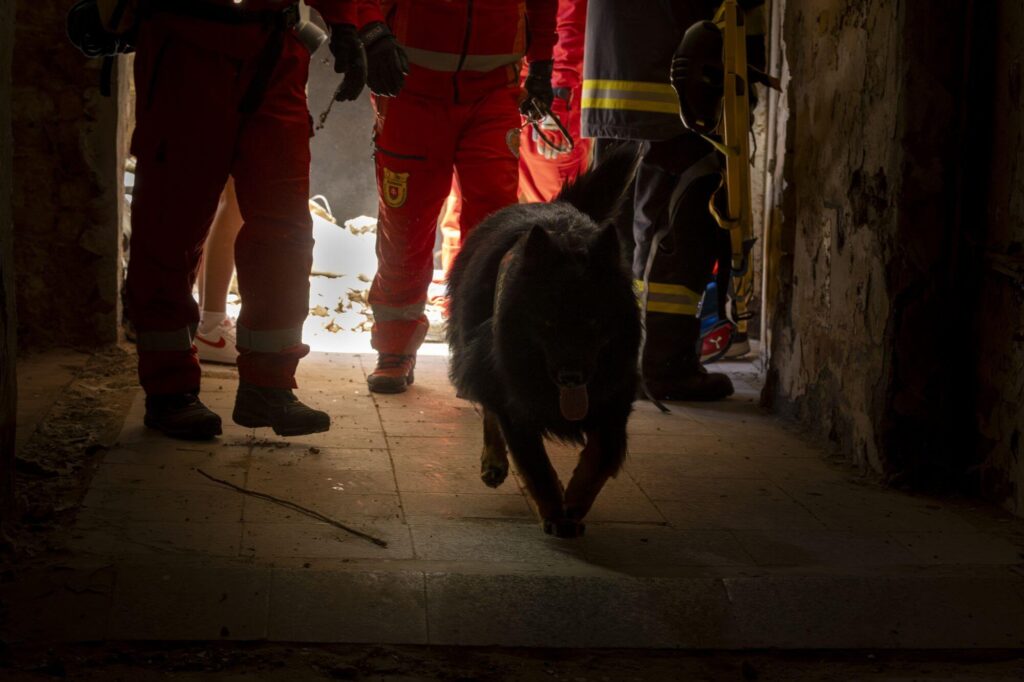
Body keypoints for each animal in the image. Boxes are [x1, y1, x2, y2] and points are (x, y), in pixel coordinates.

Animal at [448, 148, 638, 536]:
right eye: (548, 323)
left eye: (595, 322)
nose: (571, 378)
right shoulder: (513, 394)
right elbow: (535, 463)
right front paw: (553, 510)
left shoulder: (614, 398)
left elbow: (601, 455)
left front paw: (575, 502)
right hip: (483, 359)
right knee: (488, 407)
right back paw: (494, 460)